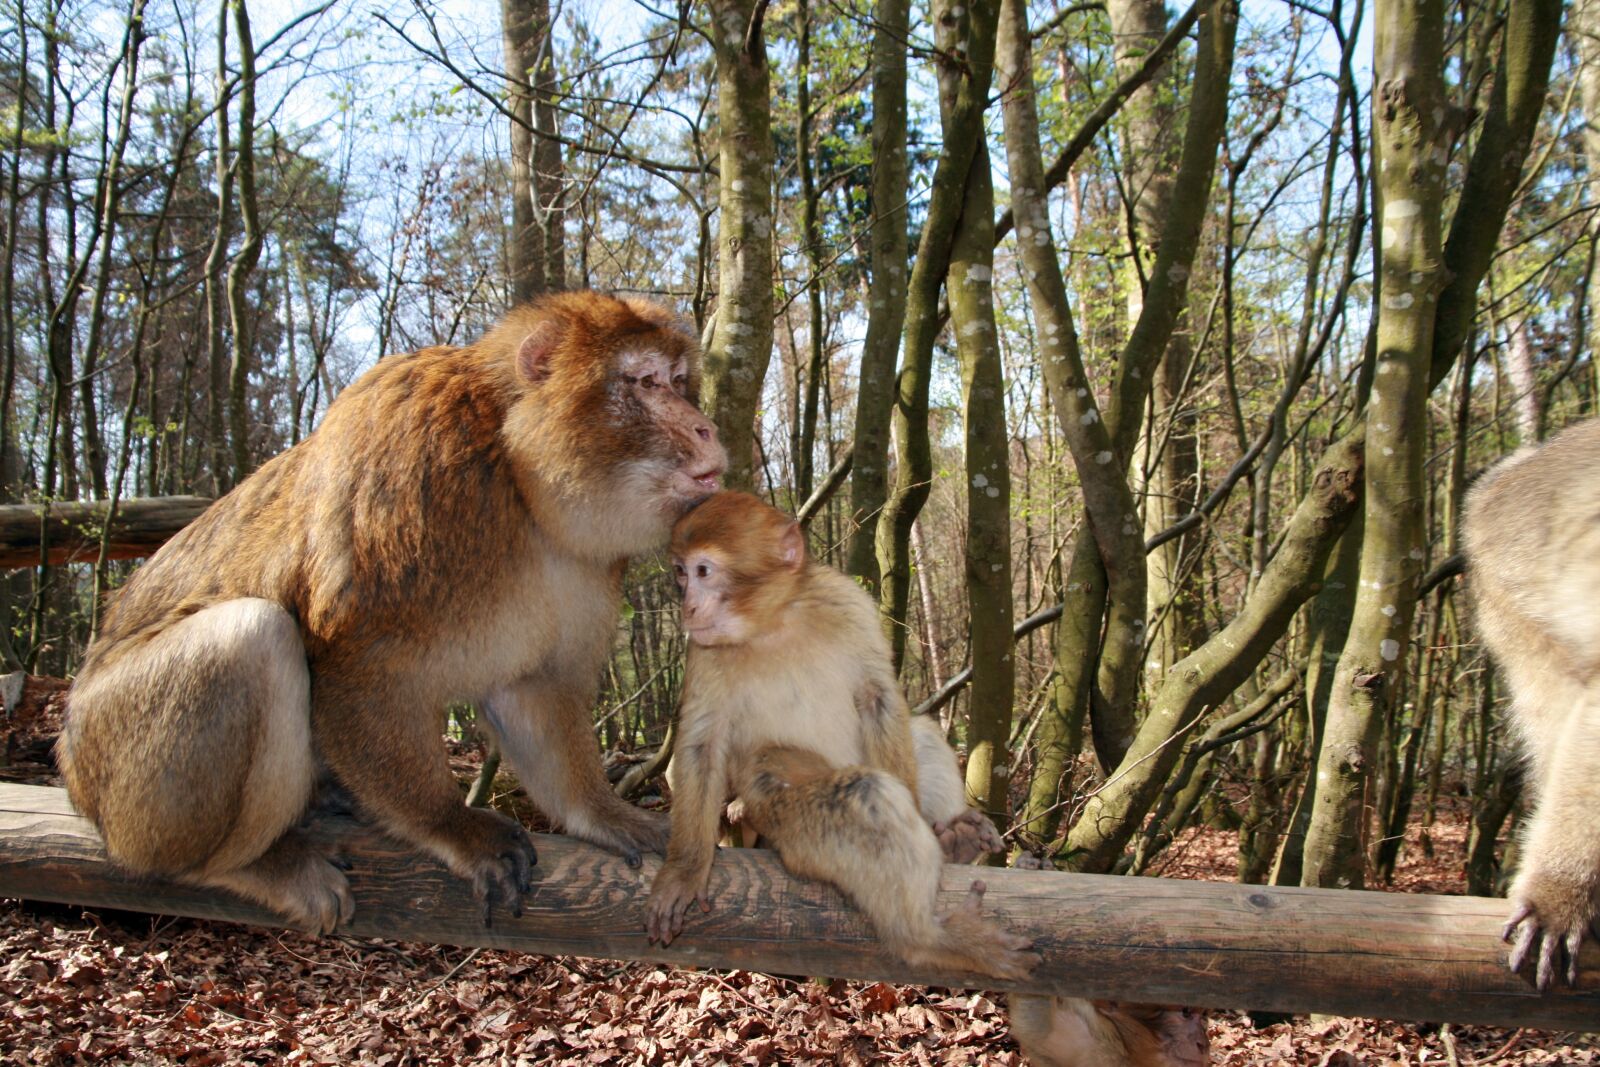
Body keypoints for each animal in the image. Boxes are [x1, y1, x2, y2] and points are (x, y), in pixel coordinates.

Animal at [57, 291, 727, 933]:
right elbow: (359, 664)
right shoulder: (412, 470)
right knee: (251, 635)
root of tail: (70, 765)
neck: (516, 473)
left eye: (677, 380)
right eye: (645, 383)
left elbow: (531, 691)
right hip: (116, 766)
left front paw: (604, 814)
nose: (707, 428)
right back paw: (239, 864)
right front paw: (451, 823)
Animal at [643, 490, 1038, 982]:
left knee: (919, 735)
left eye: (702, 571)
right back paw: (927, 938)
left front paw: (934, 824)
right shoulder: (703, 650)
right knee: (850, 792)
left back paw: (952, 843)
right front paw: (685, 869)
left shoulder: (847, 601)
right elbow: (702, 744)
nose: (688, 607)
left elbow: (877, 697)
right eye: (681, 572)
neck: (775, 620)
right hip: (785, 827)